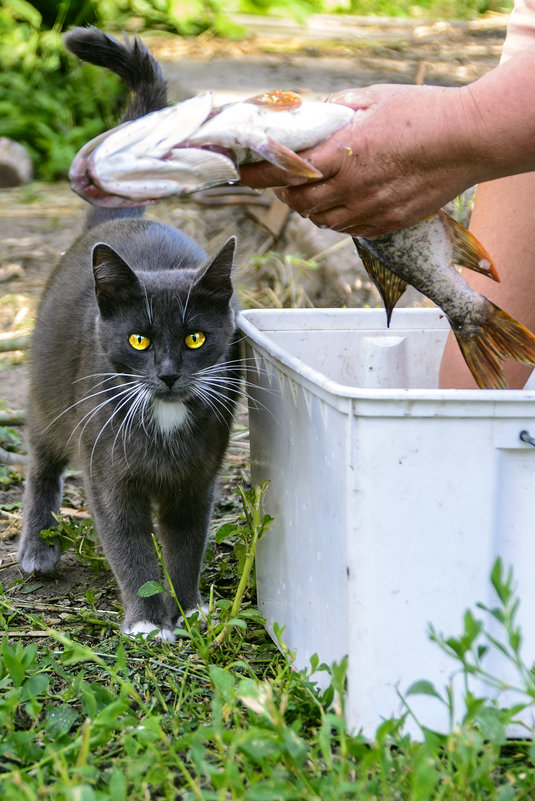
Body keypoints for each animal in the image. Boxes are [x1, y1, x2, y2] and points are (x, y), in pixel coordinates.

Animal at [18, 29, 241, 636]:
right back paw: (36, 547)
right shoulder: (108, 473)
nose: (167, 375)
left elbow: (186, 541)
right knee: (41, 458)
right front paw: (147, 621)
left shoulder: (198, 478)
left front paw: (186, 610)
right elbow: (130, 543)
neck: (163, 417)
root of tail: (120, 218)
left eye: (194, 339)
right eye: (139, 339)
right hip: (50, 394)